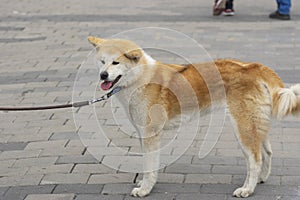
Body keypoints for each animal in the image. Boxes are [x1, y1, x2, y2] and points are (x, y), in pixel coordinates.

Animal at [87, 36, 300, 198]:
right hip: (256, 125)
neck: (140, 78)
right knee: (267, 153)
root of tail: (253, 66)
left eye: (116, 62)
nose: (103, 75)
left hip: (243, 127)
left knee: (254, 160)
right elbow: (149, 166)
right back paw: (261, 179)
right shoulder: (143, 133)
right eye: (102, 61)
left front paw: (145, 189)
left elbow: (149, 166)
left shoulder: (151, 135)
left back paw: (247, 189)